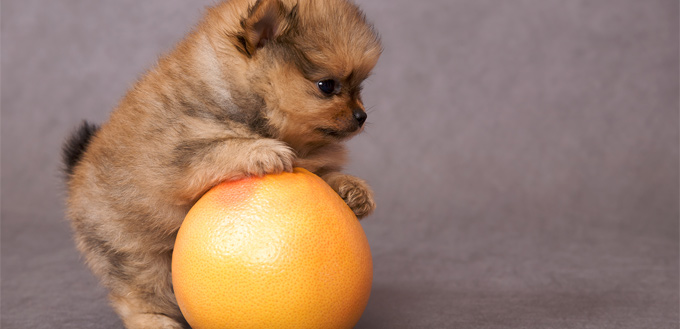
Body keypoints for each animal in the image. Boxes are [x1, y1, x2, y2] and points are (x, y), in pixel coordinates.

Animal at [62, 0, 382, 326]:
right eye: (327, 86)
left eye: (360, 87)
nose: (361, 116)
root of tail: (76, 177)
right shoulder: (178, 156)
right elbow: (223, 147)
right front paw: (262, 151)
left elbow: (325, 174)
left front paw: (352, 189)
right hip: (134, 250)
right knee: (137, 295)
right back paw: (155, 320)